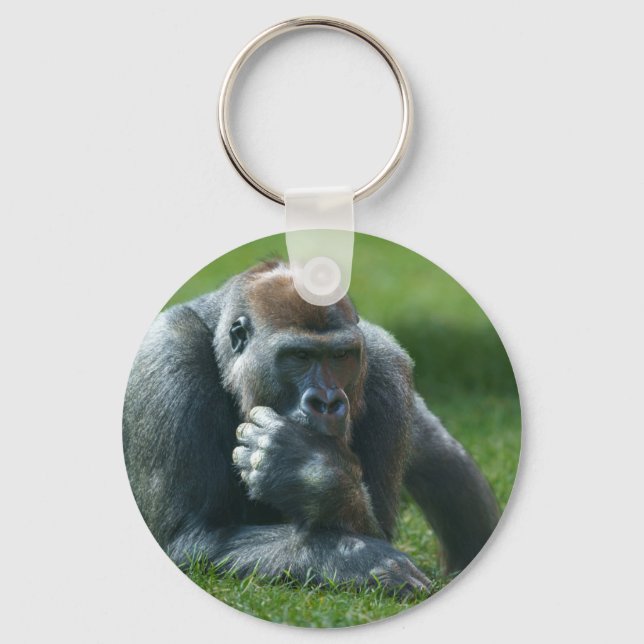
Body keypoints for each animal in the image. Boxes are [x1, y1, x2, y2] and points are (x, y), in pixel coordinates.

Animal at [123, 260, 500, 594]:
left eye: (341, 356)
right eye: (300, 356)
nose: (328, 402)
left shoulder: (387, 366)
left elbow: (373, 526)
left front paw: (312, 474)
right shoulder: (171, 351)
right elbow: (196, 536)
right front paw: (354, 558)